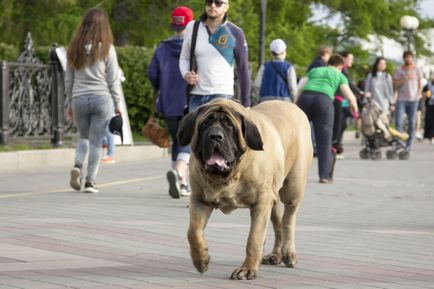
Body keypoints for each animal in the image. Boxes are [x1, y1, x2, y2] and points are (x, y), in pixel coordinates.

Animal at [178, 98, 314, 278]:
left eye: (229, 125)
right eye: (206, 122)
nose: (215, 136)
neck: (231, 175)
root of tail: (292, 105)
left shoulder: (261, 203)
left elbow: (254, 238)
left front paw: (247, 269)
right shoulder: (200, 200)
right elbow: (193, 232)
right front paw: (201, 259)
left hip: (293, 187)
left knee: (288, 220)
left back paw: (288, 253)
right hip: (273, 197)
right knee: (278, 223)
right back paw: (275, 255)